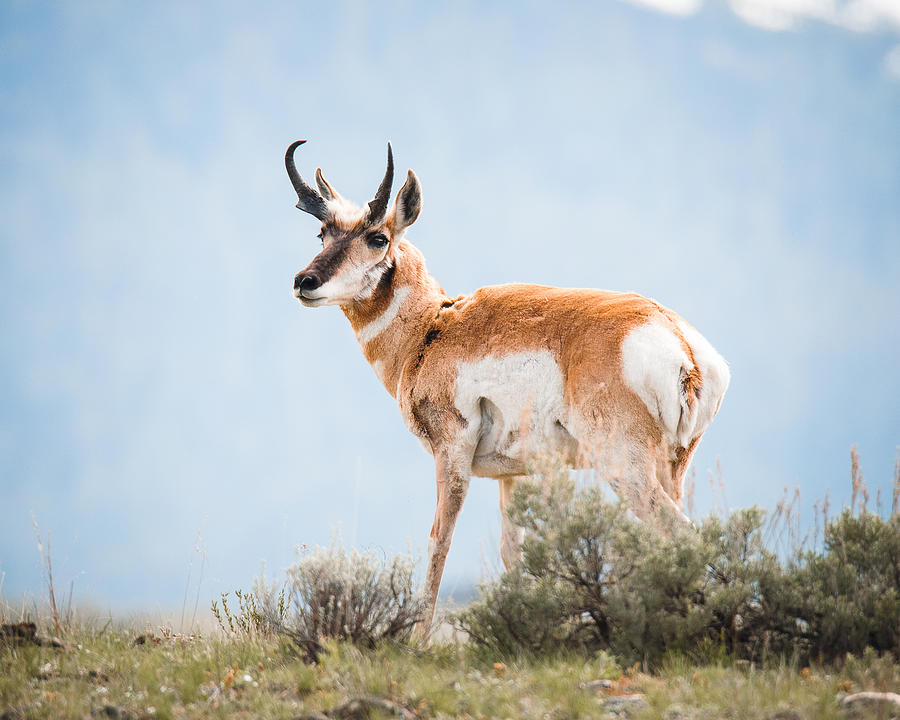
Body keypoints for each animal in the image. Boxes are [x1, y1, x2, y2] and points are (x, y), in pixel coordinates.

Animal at [288, 139, 732, 632]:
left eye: (377, 238)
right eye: (322, 235)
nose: (304, 281)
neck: (431, 326)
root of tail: (676, 339)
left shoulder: (452, 454)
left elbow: (439, 541)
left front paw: (416, 639)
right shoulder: (513, 475)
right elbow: (512, 554)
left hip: (624, 467)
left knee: (680, 532)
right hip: (672, 467)